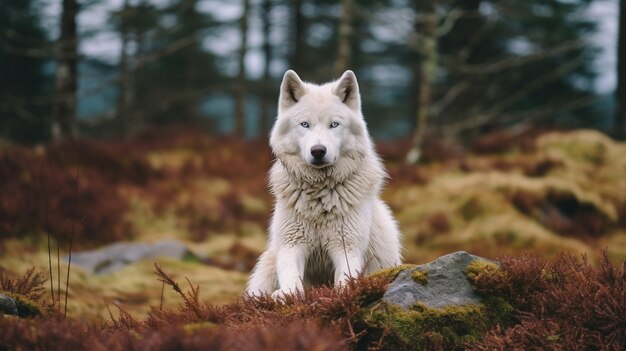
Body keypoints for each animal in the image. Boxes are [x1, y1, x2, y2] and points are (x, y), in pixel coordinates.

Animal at [244, 69, 400, 296]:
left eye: (334, 124)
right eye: (305, 124)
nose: (318, 151)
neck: (319, 195)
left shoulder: (346, 246)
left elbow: (345, 279)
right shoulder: (291, 245)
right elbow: (291, 277)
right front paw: (286, 296)